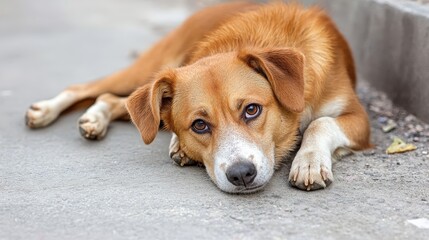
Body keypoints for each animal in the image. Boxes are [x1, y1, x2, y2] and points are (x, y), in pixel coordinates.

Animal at [25, 1, 370, 193]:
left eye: (252, 110)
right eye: (200, 125)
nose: (241, 174)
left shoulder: (360, 119)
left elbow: (321, 122)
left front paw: (309, 163)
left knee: (112, 98)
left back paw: (94, 119)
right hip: (151, 70)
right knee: (88, 88)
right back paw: (46, 111)